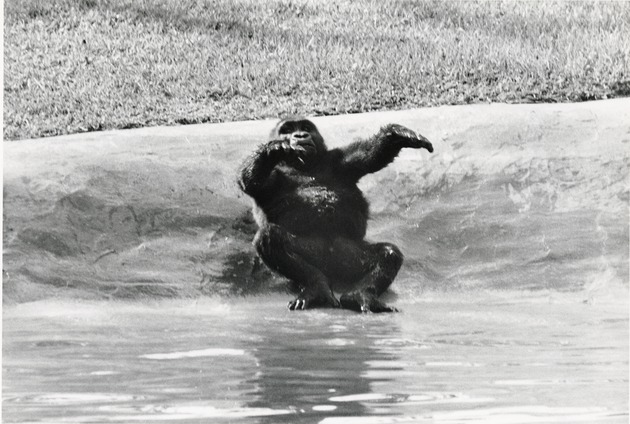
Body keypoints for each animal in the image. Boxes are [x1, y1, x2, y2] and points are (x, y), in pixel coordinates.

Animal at [238, 117, 434, 314]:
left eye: (305, 127)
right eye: (287, 130)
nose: (300, 135)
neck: (305, 166)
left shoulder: (340, 159)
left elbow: (370, 156)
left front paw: (398, 134)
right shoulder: (272, 180)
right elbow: (250, 181)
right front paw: (273, 149)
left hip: (349, 258)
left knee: (388, 254)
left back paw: (361, 295)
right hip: (314, 254)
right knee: (270, 238)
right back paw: (316, 286)